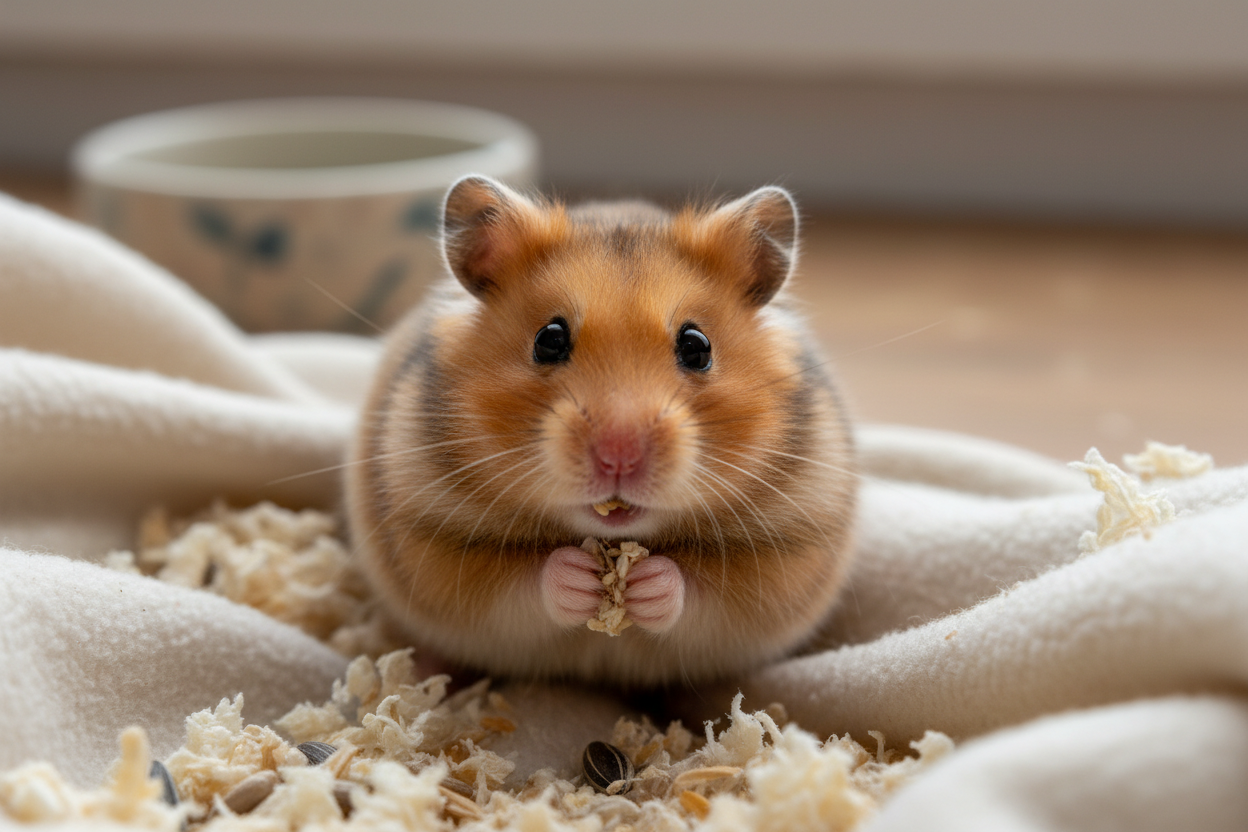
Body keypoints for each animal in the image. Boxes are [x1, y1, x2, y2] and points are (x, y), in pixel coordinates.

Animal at [346, 175, 856, 687]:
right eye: (548, 339)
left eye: (697, 347)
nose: (619, 457)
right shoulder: (435, 546)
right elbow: (522, 584)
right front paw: (580, 577)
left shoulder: (784, 559)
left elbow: (701, 593)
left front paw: (647, 583)